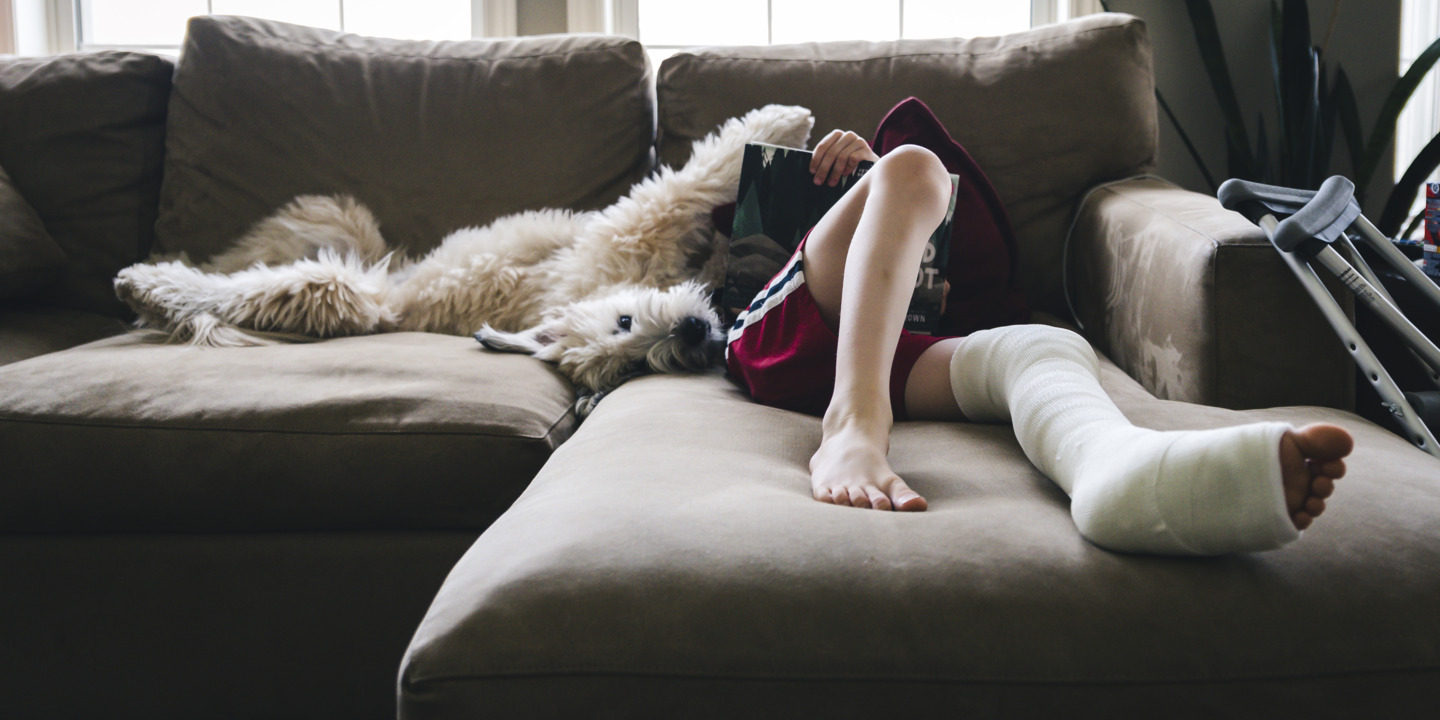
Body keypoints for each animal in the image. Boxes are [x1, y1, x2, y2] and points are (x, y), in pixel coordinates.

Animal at [118, 104, 817, 414]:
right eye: (632, 363)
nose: (694, 333)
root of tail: (392, 295)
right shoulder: (630, 232)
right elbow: (680, 187)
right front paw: (781, 125)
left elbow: (701, 187)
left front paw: (785, 126)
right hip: (335, 283)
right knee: (241, 288)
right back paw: (147, 282)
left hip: (335, 220)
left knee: (245, 258)